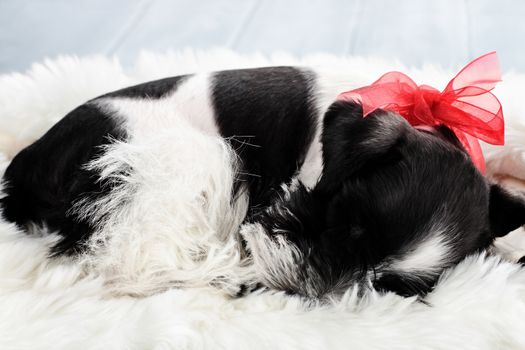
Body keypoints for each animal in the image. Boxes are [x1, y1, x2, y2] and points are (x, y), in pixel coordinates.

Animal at [1, 66, 524, 298]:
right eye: (345, 220)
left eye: (383, 285)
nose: (305, 280)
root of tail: (24, 168)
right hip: (190, 160)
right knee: (132, 260)